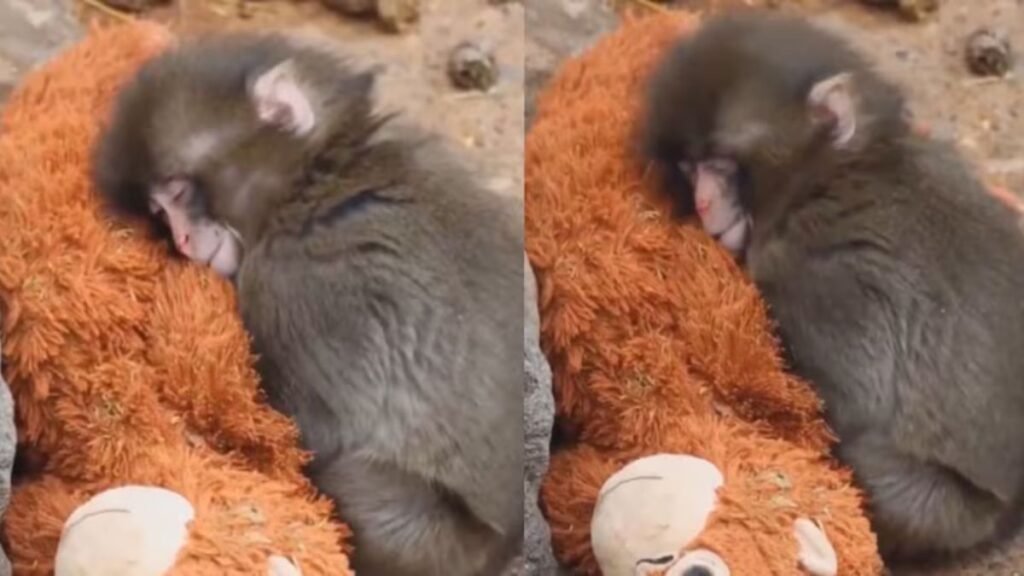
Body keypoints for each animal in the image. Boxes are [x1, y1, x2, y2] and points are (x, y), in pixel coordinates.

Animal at [92, 32, 524, 576]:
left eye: (178, 191)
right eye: (158, 211)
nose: (184, 239)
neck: (316, 180)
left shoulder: (285, 285)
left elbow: (305, 437)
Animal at [643, 10, 1024, 567]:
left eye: (723, 161)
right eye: (691, 167)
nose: (705, 203)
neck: (829, 176)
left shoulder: (824, 277)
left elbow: (850, 404)